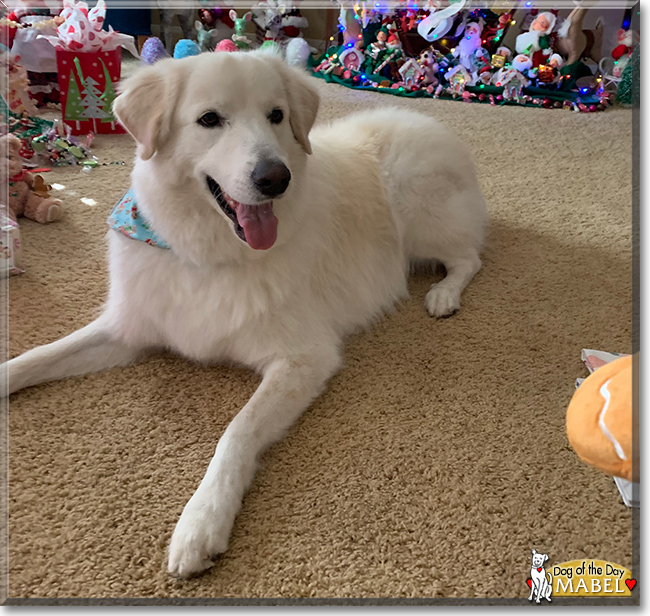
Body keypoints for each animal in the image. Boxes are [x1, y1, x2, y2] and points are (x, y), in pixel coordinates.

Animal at [1, 50, 486, 576]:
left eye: (276, 115)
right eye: (210, 120)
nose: (276, 179)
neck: (209, 253)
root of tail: (431, 124)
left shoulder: (304, 358)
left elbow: (236, 432)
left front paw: (201, 521)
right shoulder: (129, 329)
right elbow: (38, 356)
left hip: (421, 216)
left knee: (470, 256)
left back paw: (443, 295)